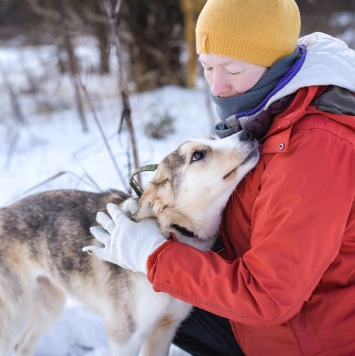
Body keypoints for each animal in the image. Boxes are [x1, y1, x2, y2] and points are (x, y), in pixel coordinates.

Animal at [0, 129, 258, 354]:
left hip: (49, 306)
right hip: (14, 316)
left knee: (22, 346)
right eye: (197, 155)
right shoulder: (125, 336)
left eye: (214, 138)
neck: (171, 232)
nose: (247, 133)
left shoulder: (165, 328)